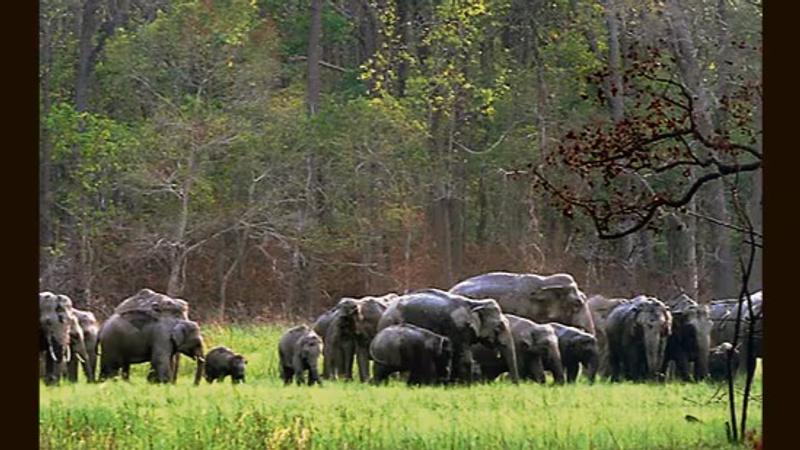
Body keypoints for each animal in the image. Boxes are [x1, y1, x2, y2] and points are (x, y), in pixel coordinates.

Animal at [376, 288, 520, 384]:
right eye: (499, 327)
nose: (515, 385)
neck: (474, 303)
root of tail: (385, 312)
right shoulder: (457, 329)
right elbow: (464, 358)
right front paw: (464, 386)